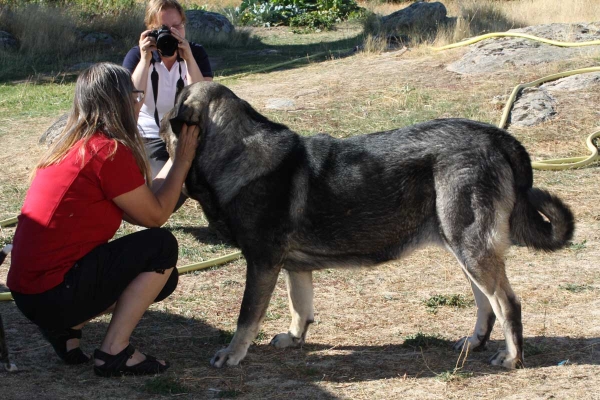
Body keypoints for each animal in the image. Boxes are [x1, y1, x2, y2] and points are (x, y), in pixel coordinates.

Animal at [159, 83, 572, 370]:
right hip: (464, 249)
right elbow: (299, 306)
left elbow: (247, 316)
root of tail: (498, 137)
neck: (234, 150)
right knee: (486, 302)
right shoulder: (293, 267)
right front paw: (295, 338)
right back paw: (475, 341)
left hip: (471, 246)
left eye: (170, 113)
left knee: (507, 303)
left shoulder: (262, 263)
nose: (159, 125)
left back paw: (512, 358)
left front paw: (232, 354)